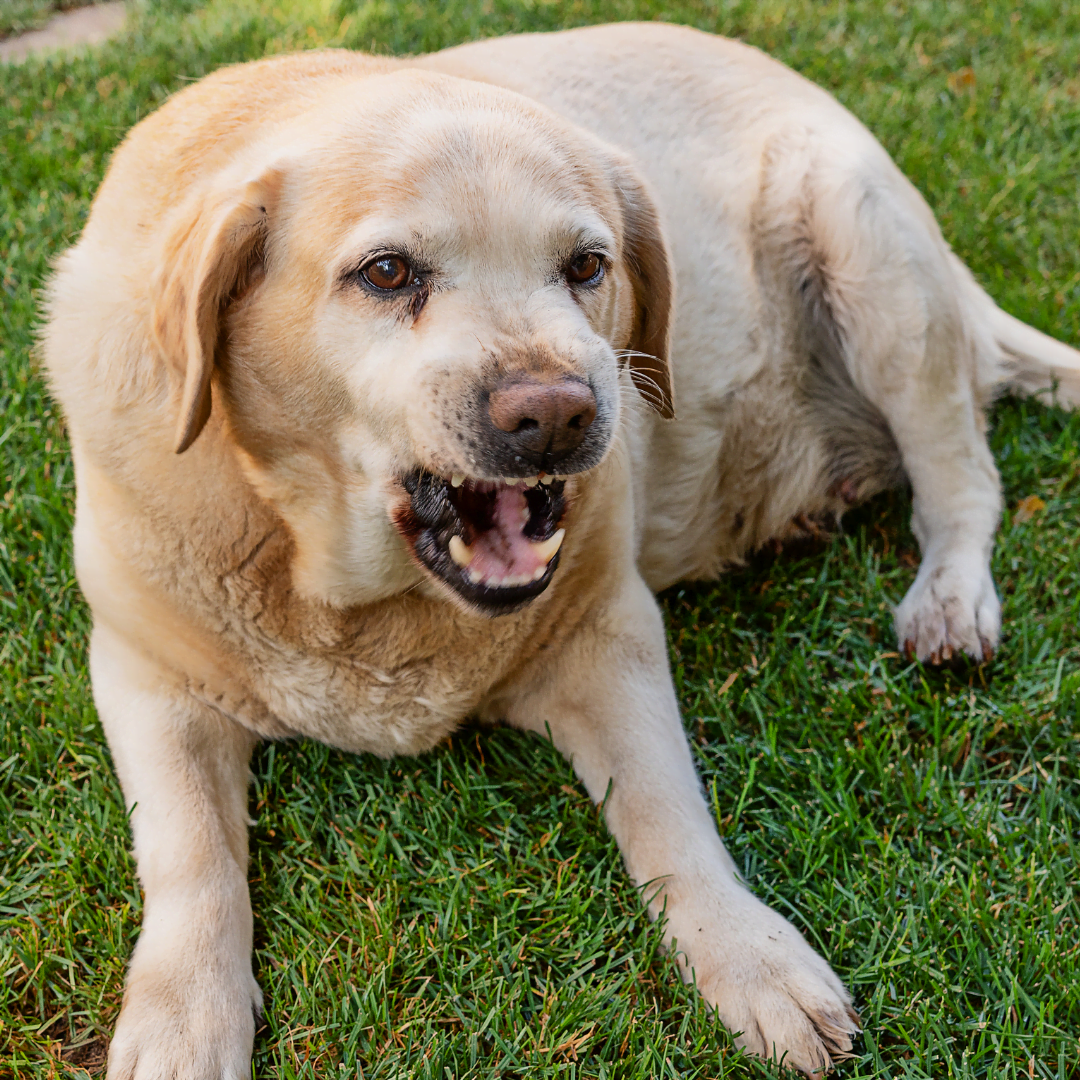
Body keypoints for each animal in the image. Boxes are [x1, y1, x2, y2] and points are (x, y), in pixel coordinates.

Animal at [42, 19, 1080, 1080]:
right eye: (387, 273)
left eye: (587, 265)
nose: (556, 413)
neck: (359, 598)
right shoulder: (144, 675)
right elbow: (191, 855)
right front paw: (183, 1018)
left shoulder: (606, 634)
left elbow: (667, 813)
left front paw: (750, 958)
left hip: (871, 256)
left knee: (962, 475)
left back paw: (951, 597)